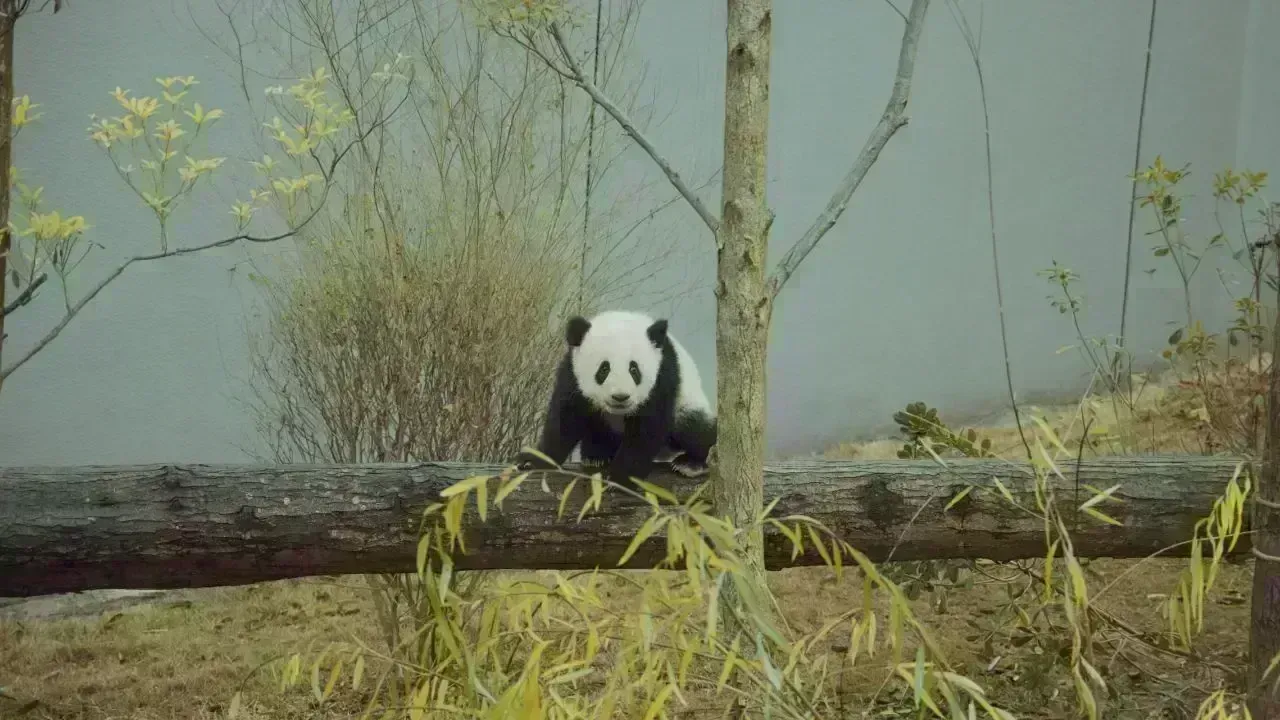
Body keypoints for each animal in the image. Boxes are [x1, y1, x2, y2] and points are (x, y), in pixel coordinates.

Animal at [515, 309, 717, 486]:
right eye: (604, 369)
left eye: (634, 369)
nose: (620, 397)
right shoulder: (572, 374)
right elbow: (564, 420)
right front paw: (531, 461)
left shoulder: (663, 376)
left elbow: (647, 428)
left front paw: (622, 477)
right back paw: (596, 454)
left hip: (688, 402)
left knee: (695, 427)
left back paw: (690, 463)